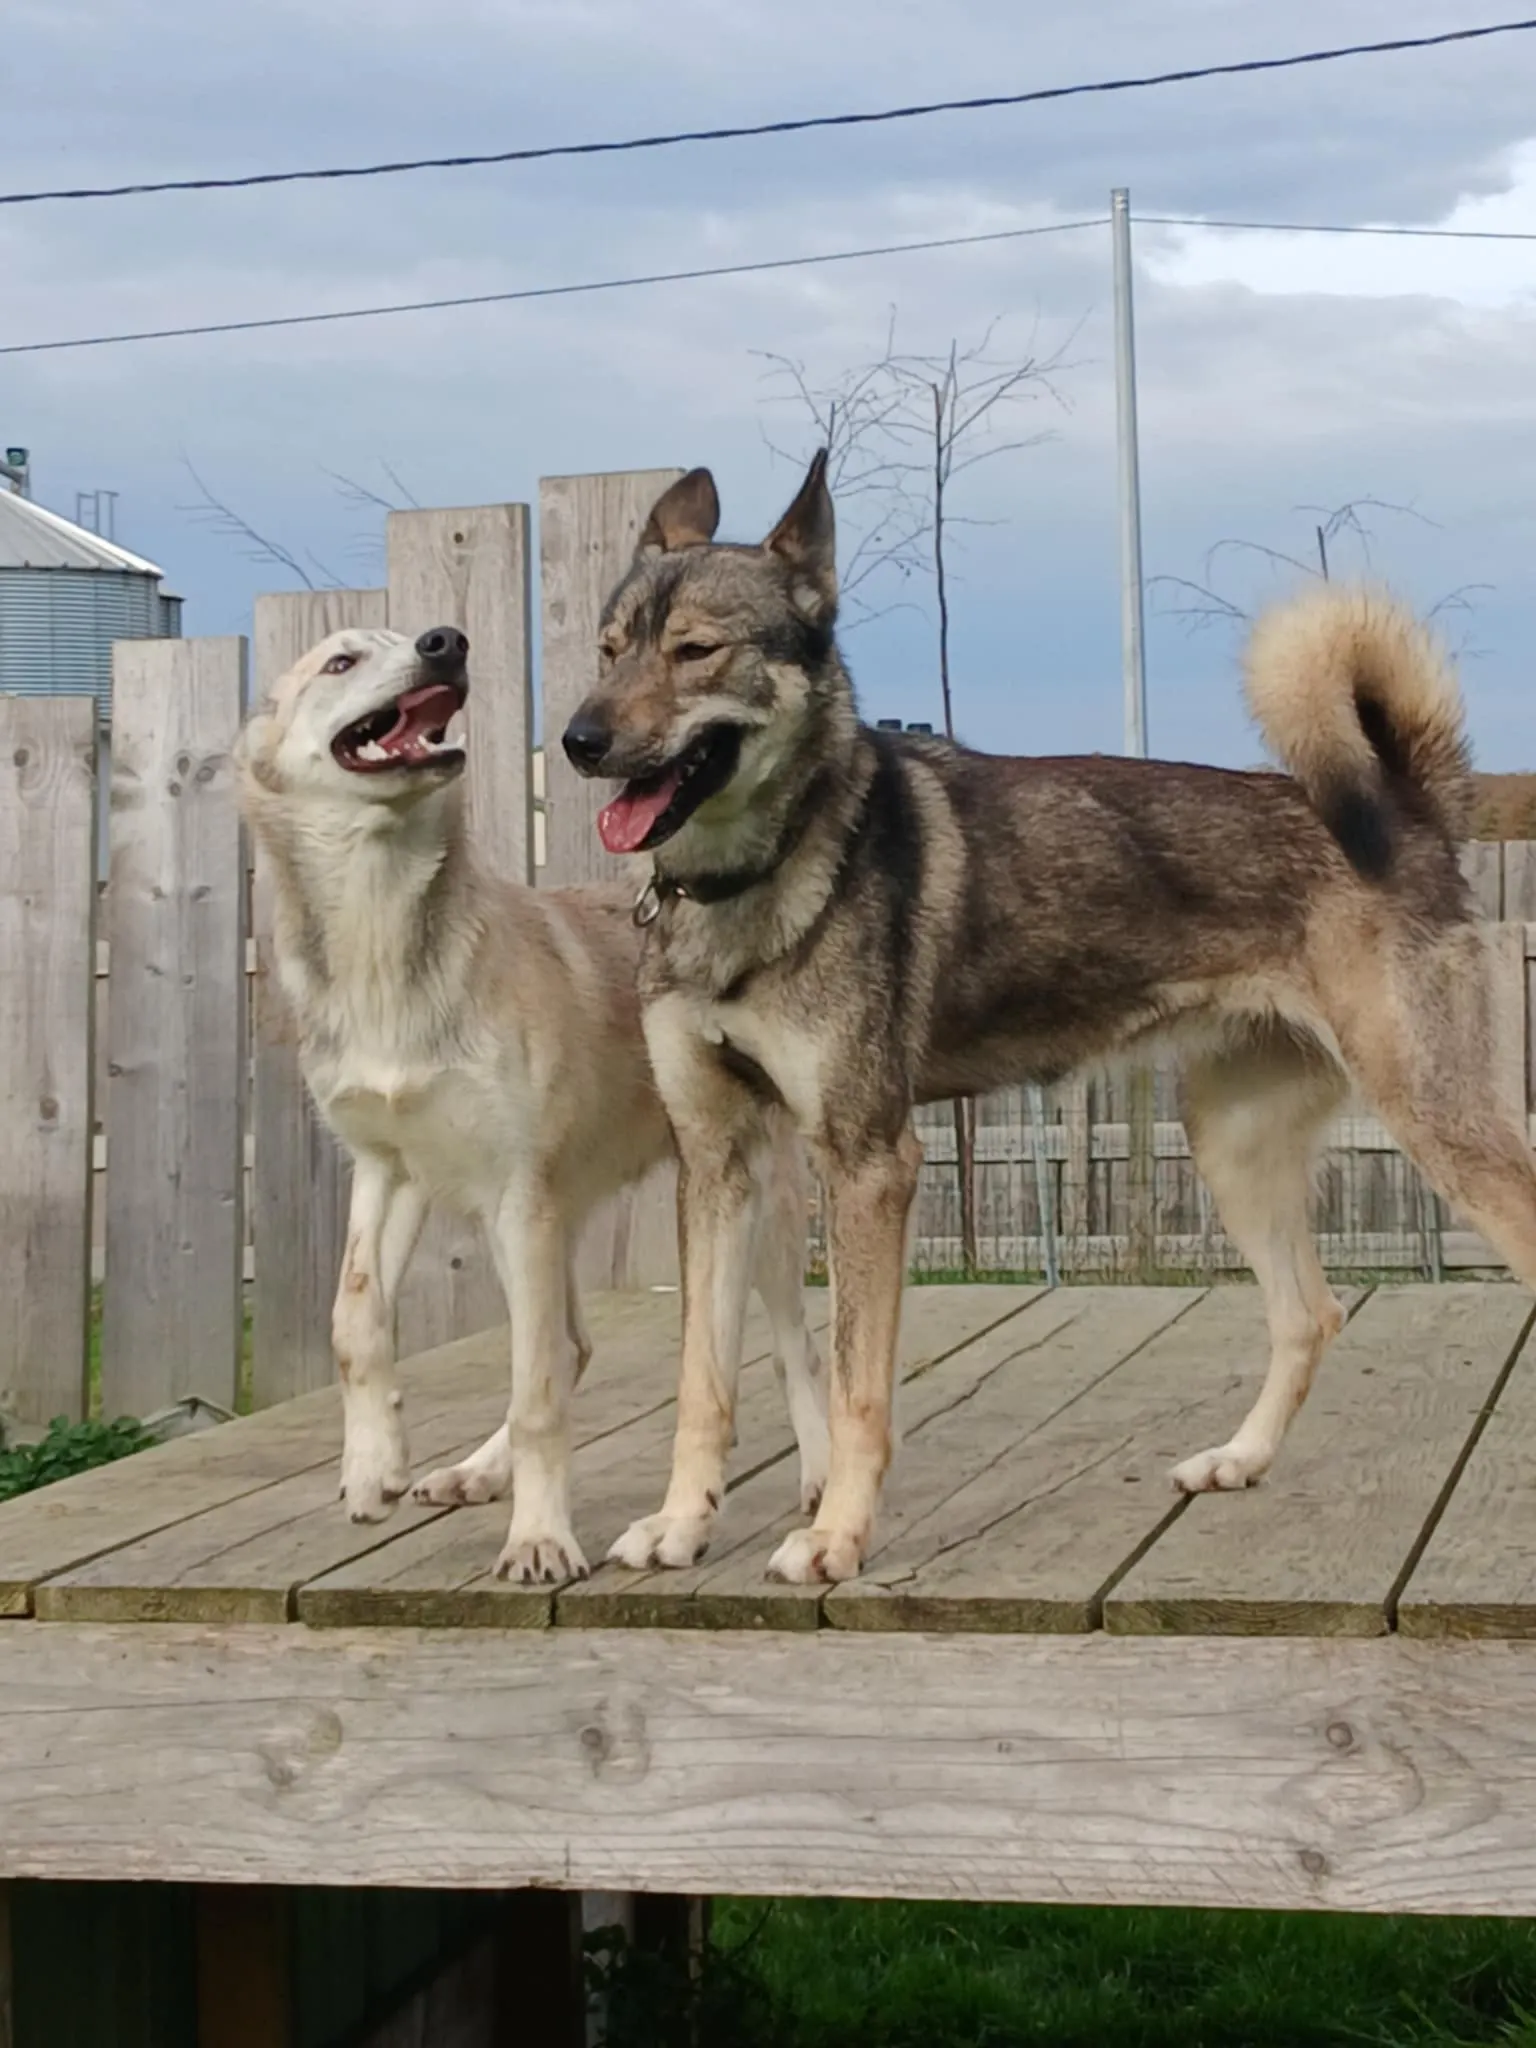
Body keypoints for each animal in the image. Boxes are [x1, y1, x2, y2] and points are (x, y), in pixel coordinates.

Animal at [236, 623, 827, 1584]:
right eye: (342, 661)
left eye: (414, 640)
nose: (447, 642)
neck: (385, 946)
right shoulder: (392, 1169)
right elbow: (355, 1317)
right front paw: (373, 1467)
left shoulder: (522, 1197)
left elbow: (538, 1390)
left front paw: (542, 1538)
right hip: (528, 1219)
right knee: (572, 1342)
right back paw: (475, 1472)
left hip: (746, 1205)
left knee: (795, 1348)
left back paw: (817, 1478)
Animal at [561, 450, 1536, 1586]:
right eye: (609, 650)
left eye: (696, 650)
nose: (580, 740)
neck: (748, 878)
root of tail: (1417, 811)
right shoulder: (717, 1163)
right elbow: (703, 1380)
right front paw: (682, 1522)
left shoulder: (869, 1162)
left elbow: (855, 1389)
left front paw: (838, 1536)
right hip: (1234, 1142)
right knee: (1310, 1311)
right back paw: (1237, 1459)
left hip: (1443, 1127)